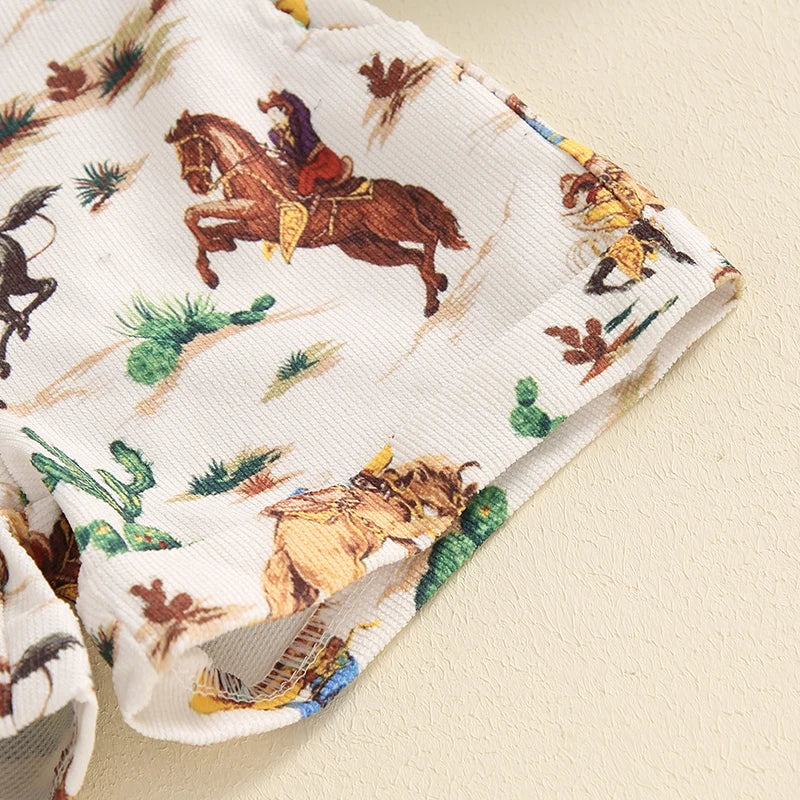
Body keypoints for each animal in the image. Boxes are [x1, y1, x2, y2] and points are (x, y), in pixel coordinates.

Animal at [165, 110, 469, 317]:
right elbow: (209, 226)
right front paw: (213, 260)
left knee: (428, 237)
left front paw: (214, 250)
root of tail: (402, 189)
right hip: (366, 247)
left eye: (191, 147)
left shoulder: (253, 215)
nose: (197, 185)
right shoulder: (250, 228)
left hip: (392, 227)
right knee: (415, 256)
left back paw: (434, 284)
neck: (256, 178)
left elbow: (193, 214)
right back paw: (434, 292)